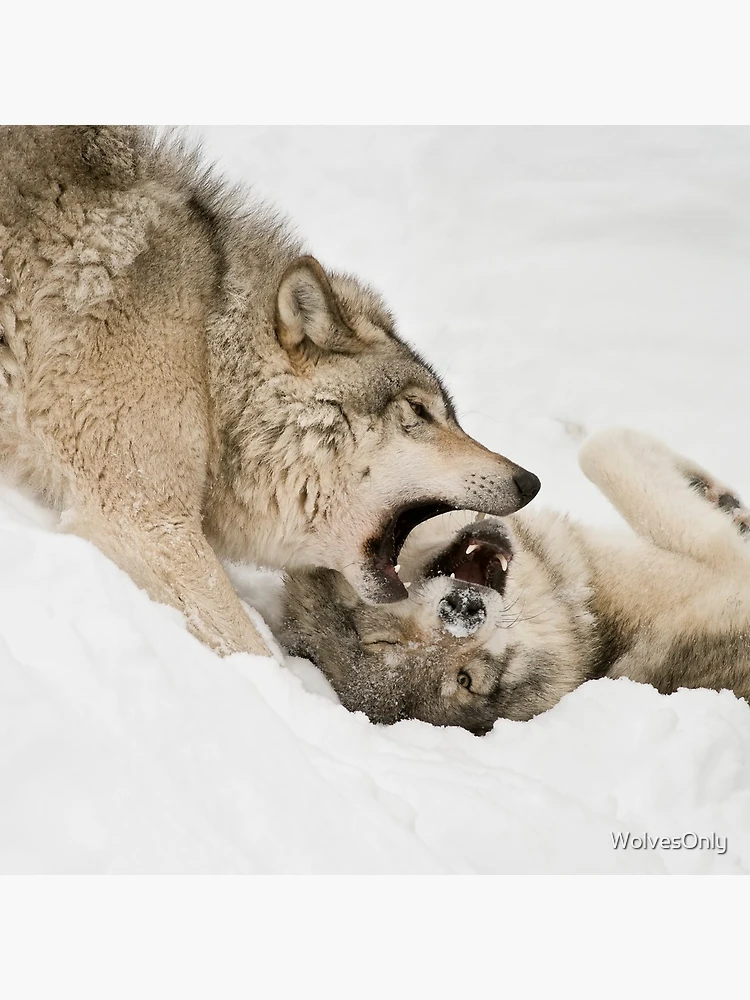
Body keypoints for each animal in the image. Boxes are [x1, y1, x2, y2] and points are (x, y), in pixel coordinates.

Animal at [281, 428, 750, 733]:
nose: (463, 610)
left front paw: (725, 499)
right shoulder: (720, 557)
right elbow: (605, 447)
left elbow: (596, 450)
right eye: (465, 680)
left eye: (381, 638)